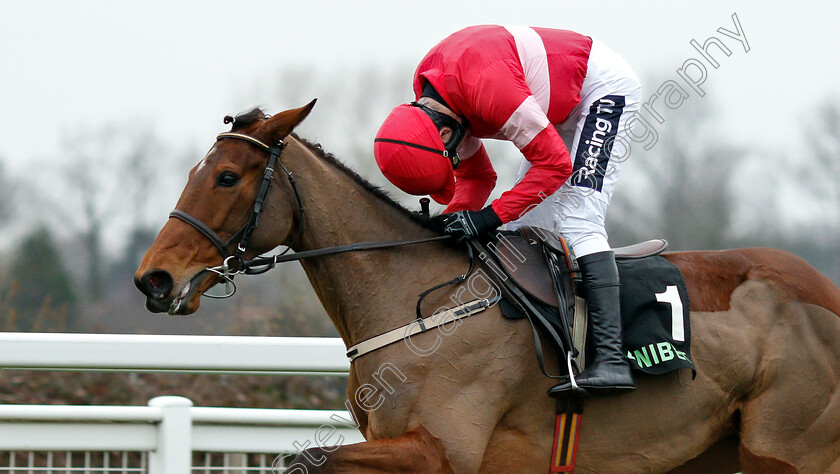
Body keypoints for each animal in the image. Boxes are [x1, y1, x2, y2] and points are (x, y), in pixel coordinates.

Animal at [135, 102, 840, 472]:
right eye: (198, 170)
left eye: (227, 177)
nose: (153, 278)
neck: (418, 297)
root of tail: (826, 295)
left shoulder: (441, 451)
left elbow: (307, 460)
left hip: (787, 450)